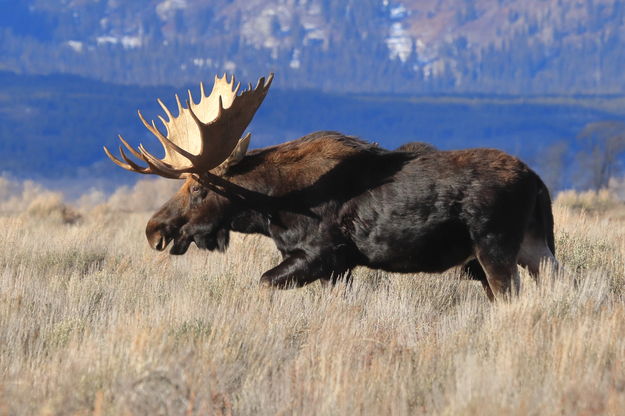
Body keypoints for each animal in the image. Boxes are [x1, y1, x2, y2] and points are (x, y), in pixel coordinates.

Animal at [103, 73, 556, 300]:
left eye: (197, 189)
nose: (154, 230)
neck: (268, 207)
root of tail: (537, 182)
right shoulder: (339, 267)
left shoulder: (322, 255)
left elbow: (264, 282)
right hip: (536, 248)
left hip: (494, 248)